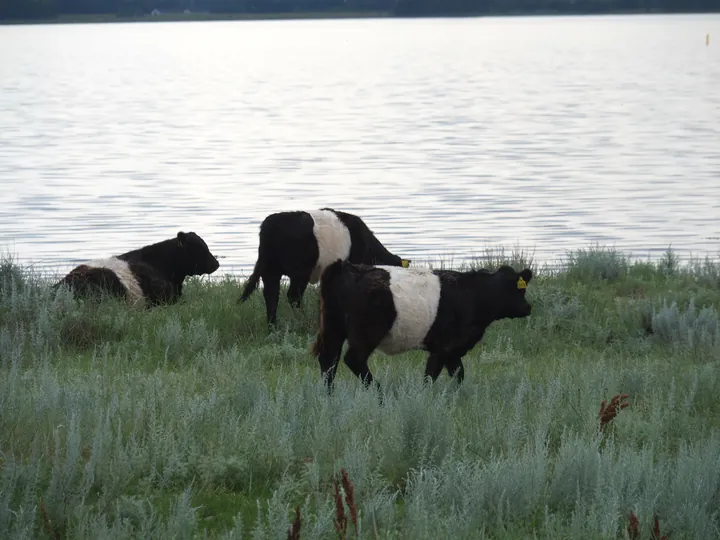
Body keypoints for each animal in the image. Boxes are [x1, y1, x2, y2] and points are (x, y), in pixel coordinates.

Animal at [239, 207, 410, 324]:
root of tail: (270, 225)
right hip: (300, 271)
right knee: (292, 296)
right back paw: (300, 320)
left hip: (271, 270)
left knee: (271, 295)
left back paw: (273, 328)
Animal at [310, 260, 536, 390]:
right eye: (519, 289)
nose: (527, 307)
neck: (474, 295)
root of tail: (345, 266)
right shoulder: (445, 346)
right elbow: (433, 375)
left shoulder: (449, 349)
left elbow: (457, 374)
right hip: (366, 332)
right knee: (353, 359)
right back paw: (379, 394)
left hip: (332, 327)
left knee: (329, 360)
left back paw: (328, 396)